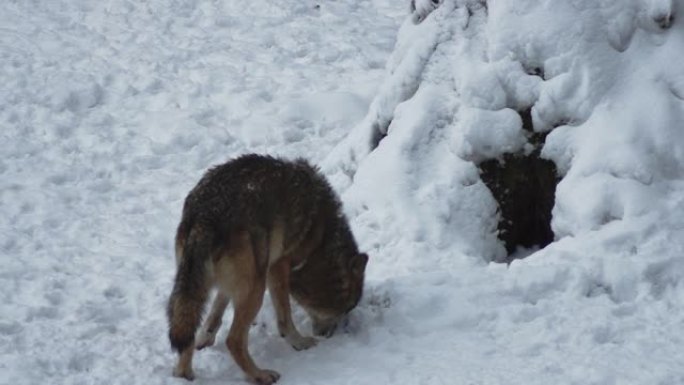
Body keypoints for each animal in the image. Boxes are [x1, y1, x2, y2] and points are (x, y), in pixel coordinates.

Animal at [166, 154, 368, 384]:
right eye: (348, 309)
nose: (331, 335)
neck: (321, 239)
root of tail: (206, 216)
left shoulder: (232, 284)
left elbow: (216, 311)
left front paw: (206, 337)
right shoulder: (278, 267)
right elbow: (285, 317)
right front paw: (300, 343)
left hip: (195, 286)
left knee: (187, 334)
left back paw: (184, 374)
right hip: (257, 288)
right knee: (234, 340)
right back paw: (260, 375)